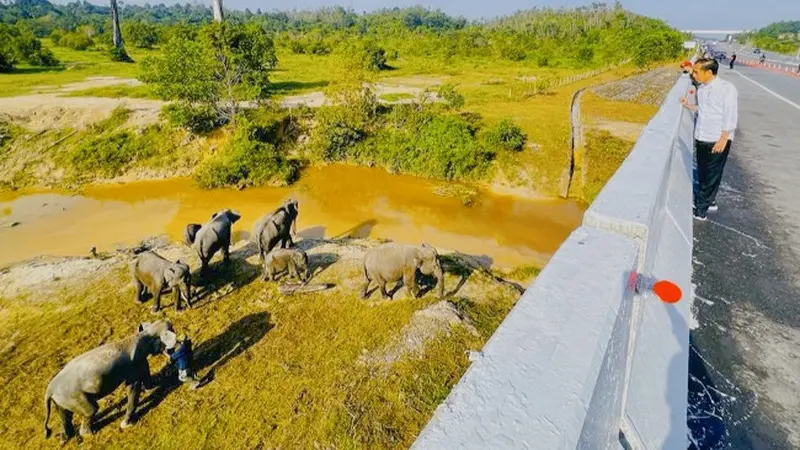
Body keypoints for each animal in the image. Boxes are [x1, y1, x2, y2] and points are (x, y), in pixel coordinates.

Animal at [43, 320, 178, 442]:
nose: (171, 359)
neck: (144, 333)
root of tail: (49, 390)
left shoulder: (140, 361)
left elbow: (145, 374)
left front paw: (155, 385)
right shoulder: (134, 364)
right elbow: (133, 387)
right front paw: (127, 425)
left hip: (62, 399)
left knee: (65, 415)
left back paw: (65, 439)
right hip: (73, 396)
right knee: (91, 410)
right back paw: (89, 434)